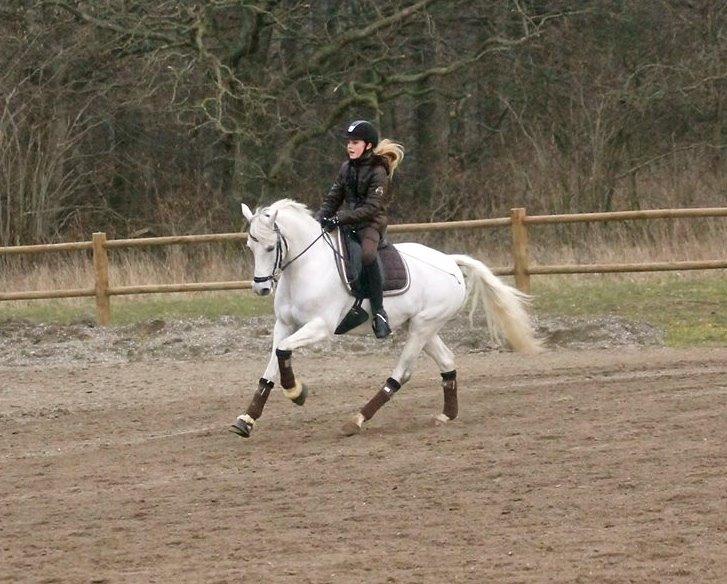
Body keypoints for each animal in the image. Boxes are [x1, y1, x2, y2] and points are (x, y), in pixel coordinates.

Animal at [230, 199, 542, 438]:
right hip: (419, 327)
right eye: (249, 246)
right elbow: (271, 366)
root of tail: (450, 261)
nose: (261, 288)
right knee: (447, 361)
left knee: (402, 372)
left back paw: (357, 419)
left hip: (422, 328)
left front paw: (297, 393)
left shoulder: (320, 326)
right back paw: (446, 415)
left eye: (270, 248)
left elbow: (283, 353)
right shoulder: (284, 325)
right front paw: (246, 420)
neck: (307, 267)